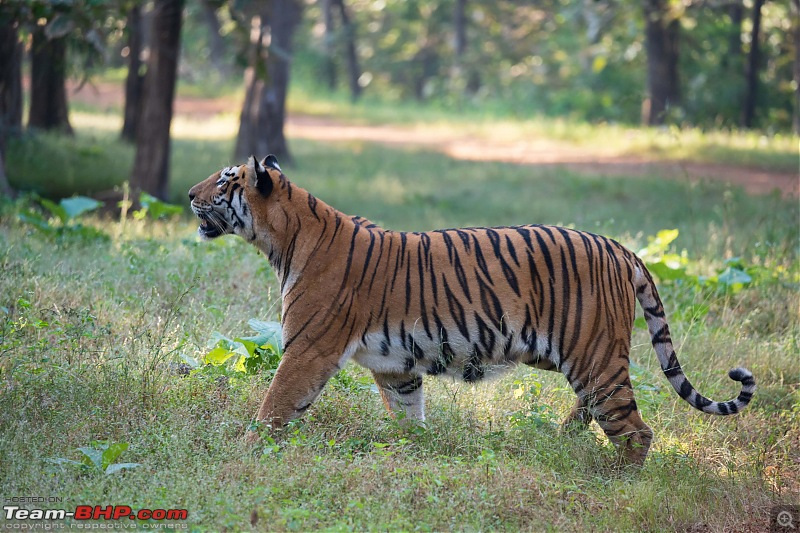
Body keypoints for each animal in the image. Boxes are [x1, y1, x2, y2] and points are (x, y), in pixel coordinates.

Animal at [189, 155, 756, 466]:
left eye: (224, 180)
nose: (189, 193)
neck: (280, 238)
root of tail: (620, 247)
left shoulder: (308, 349)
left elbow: (274, 407)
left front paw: (244, 448)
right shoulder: (395, 368)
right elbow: (409, 417)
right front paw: (414, 452)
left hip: (593, 352)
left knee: (636, 430)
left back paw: (617, 480)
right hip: (579, 358)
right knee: (599, 409)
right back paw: (558, 440)